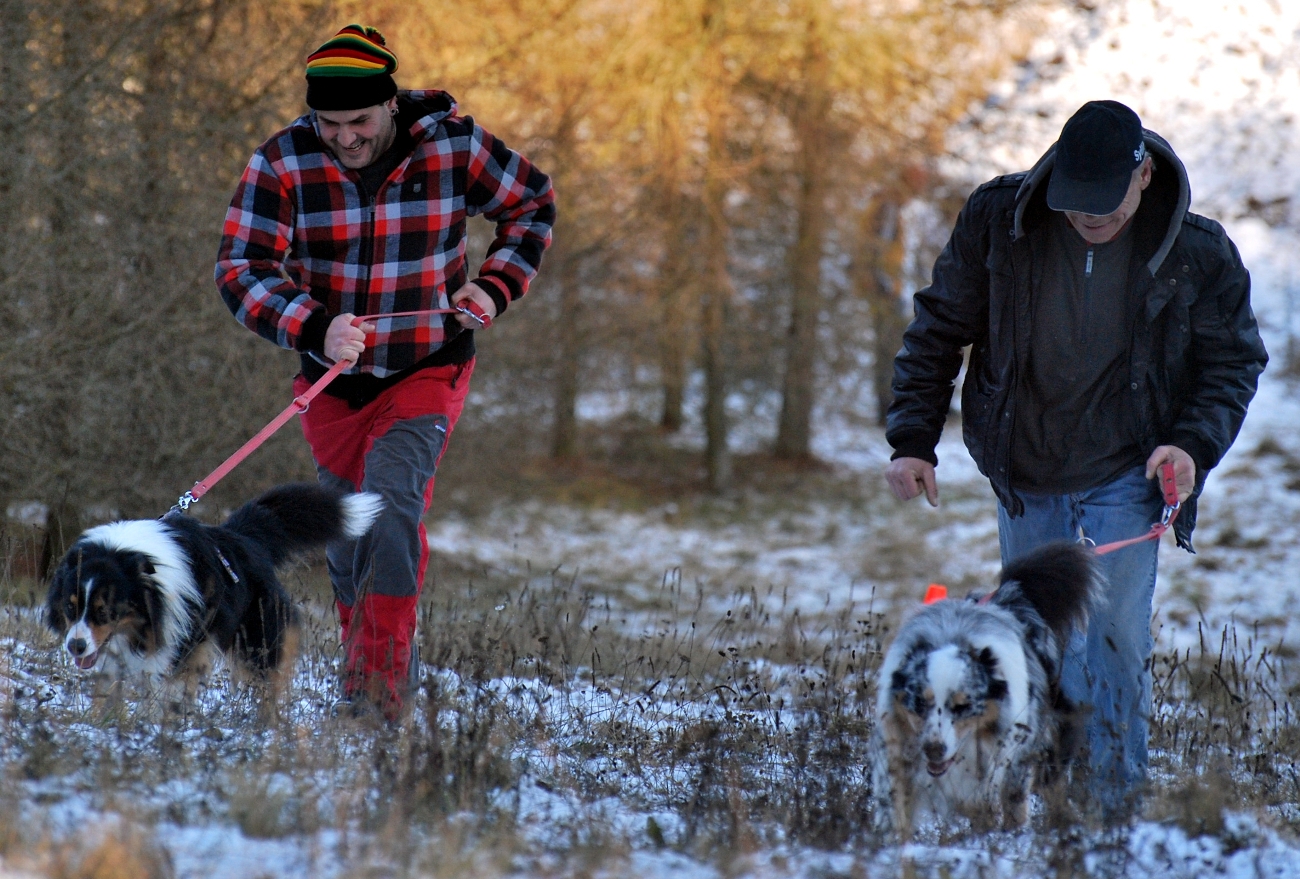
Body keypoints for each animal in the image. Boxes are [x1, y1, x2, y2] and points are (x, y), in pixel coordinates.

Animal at [44, 481, 379, 712]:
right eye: (70, 608)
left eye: (105, 611)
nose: (75, 647)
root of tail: (243, 537)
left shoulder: (175, 647)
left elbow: (159, 692)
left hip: (257, 638)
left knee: (269, 681)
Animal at [873, 543, 1097, 837]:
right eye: (919, 703)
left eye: (962, 706)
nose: (933, 750)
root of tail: (1009, 597)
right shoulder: (897, 749)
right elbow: (896, 803)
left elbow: (996, 801)